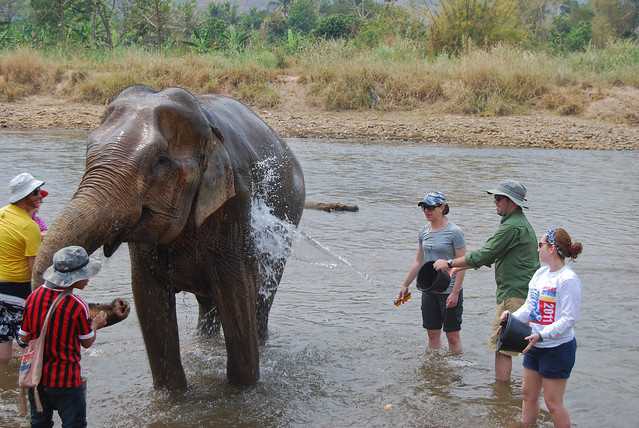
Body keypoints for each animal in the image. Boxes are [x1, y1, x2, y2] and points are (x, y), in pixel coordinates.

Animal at [32, 85, 308, 390]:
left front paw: (243, 390)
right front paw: (171, 394)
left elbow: (237, 292)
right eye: (89, 149)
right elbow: (149, 299)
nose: (118, 306)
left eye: (160, 162)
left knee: (261, 296)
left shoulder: (234, 204)